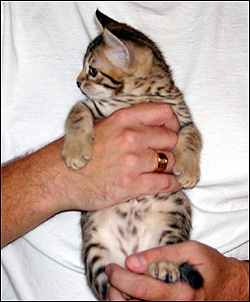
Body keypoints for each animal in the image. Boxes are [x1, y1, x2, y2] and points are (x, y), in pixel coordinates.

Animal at [62, 9, 203, 300]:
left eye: (92, 70)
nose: (78, 82)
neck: (142, 95)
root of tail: (132, 251)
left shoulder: (182, 117)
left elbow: (193, 135)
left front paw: (189, 168)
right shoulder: (95, 107)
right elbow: (77, 111)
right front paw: (76, 150)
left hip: (173, 217)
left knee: (167, 251)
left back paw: (164, 265)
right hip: (95, 253)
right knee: (109, 287)